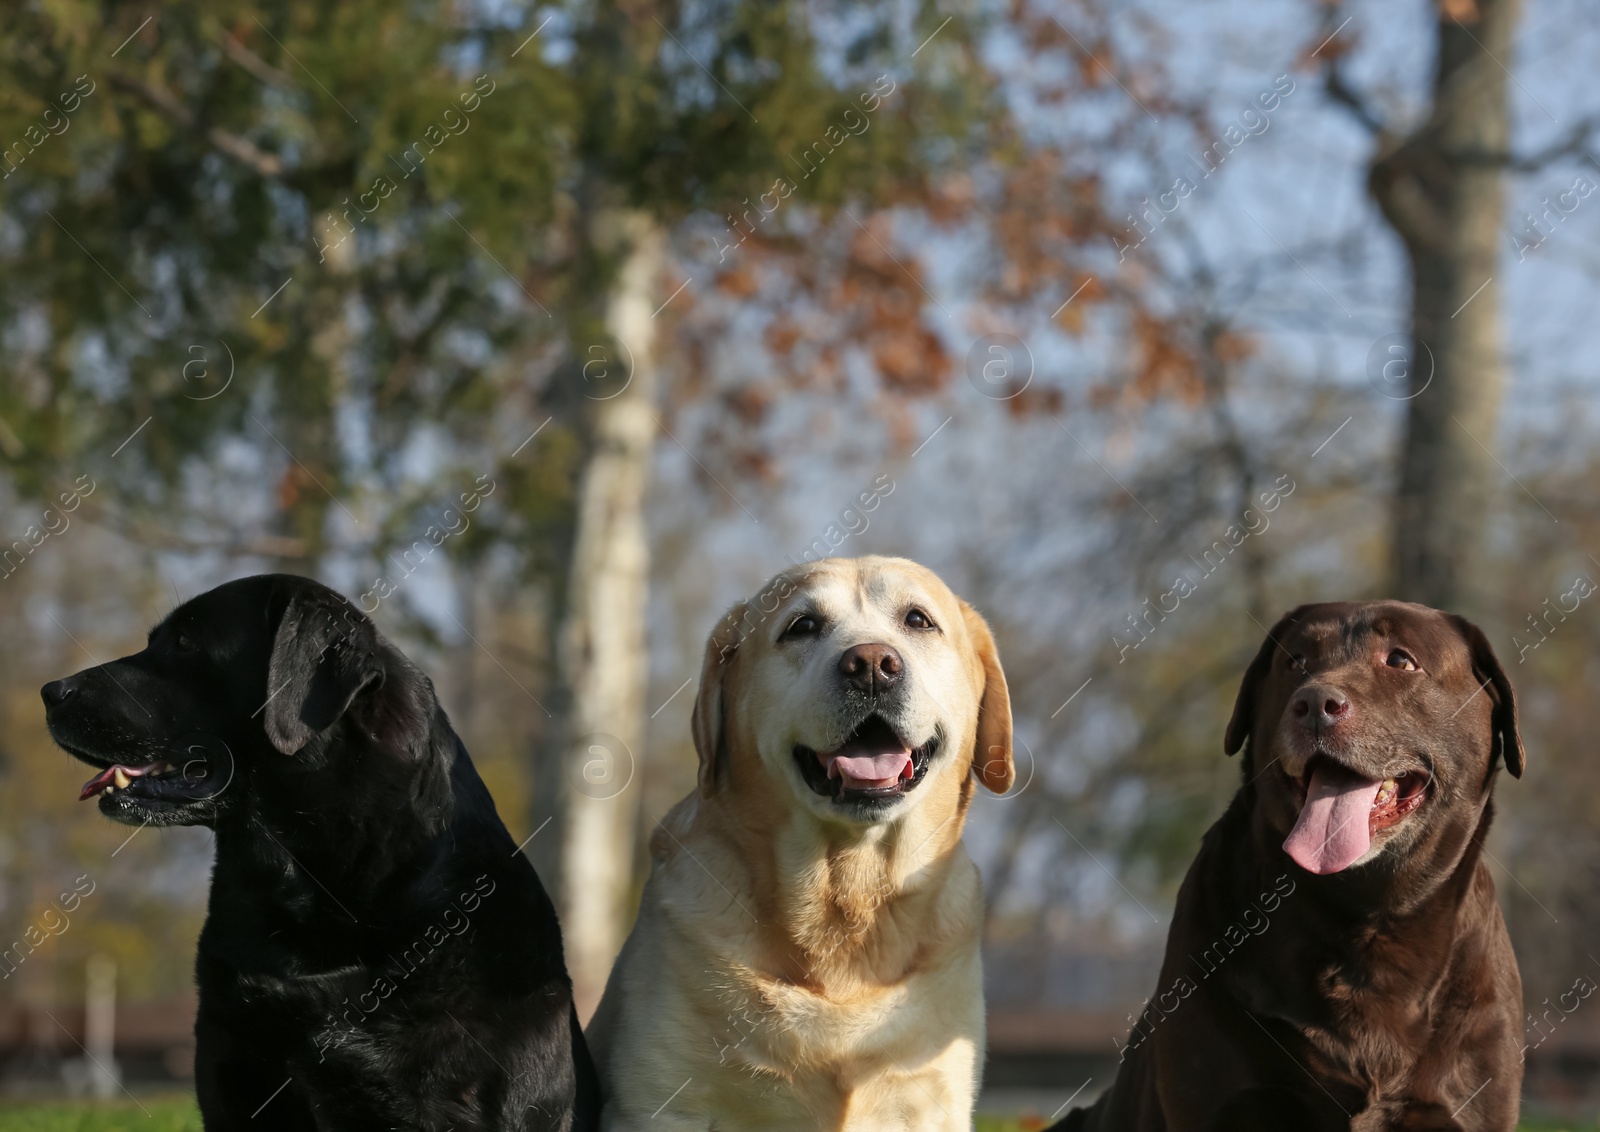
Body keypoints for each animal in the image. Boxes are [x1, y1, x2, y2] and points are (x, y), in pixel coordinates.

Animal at [588, 556, 1011, 1132]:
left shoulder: (935, 1102)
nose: (872, 664)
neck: (845, 900)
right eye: (802, 626)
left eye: (918, 620)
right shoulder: (662, 1103)